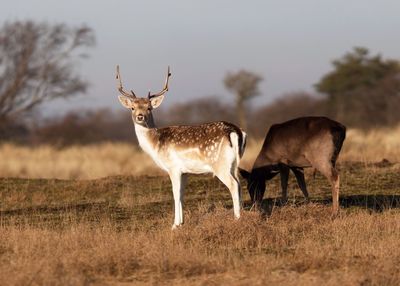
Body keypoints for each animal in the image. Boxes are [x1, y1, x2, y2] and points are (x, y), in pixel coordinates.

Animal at [116, 66, 247, 229]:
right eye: (132, 108)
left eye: (149, 108)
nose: (140, 116)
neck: (156, 145)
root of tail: (236, 132)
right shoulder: (185, 172)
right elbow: (182, 195)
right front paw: (182, 222)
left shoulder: (173, 168)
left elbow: (175, 194)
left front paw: (174, 225)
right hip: (234, 164)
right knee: (240, 183)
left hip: (220, 165)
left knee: (234, 185)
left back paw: (237, 219)